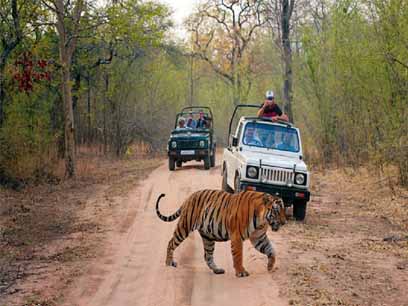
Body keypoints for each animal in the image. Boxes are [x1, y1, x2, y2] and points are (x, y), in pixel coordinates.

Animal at [156, 189, 286, 278]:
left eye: (284, 210)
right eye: (277, 211)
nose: (284, 222)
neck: (262, 220)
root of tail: (189, 197)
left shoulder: (259, 237)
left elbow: (271, 250)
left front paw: (270, 266)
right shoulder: (237, 237)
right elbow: (238, 255)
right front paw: (241, 272)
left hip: (208, 237)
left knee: (207, 255)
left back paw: (217, 270)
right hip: (184, 227)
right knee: (171, 242)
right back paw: (169, 262)